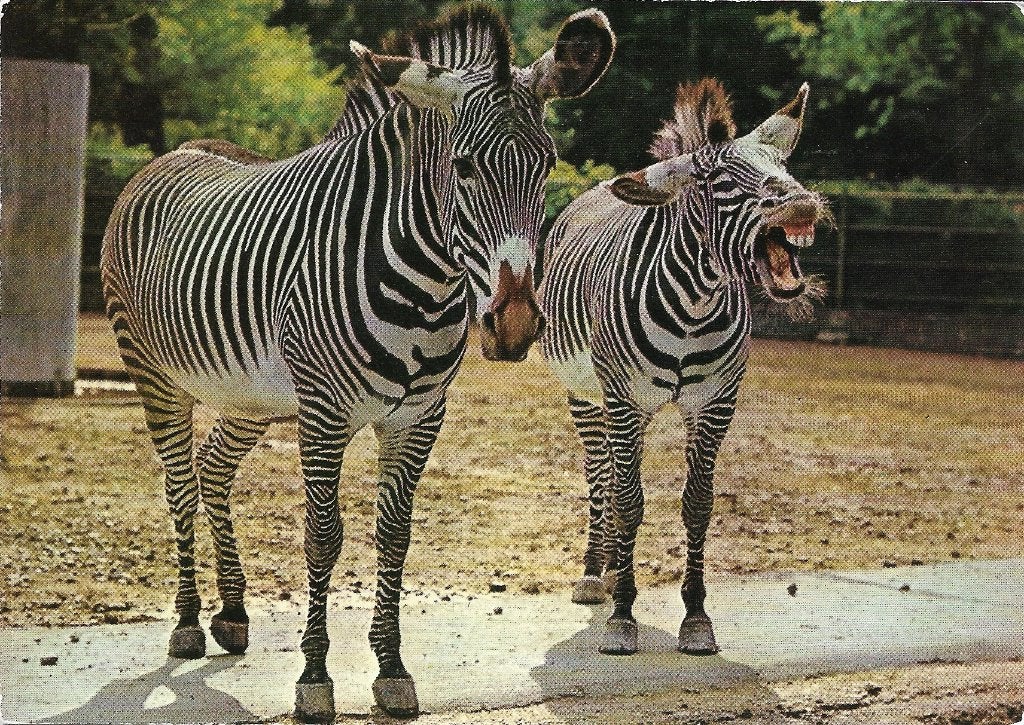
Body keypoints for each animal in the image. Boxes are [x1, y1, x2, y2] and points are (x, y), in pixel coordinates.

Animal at [100, 5, 614, 720]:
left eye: (547, 165)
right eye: (463, 167)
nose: (514, 327)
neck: (427, 285)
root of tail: (173, 154)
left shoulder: (420, 417)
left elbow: (393, 536)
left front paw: (393, 670)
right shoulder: (323, 412)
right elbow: (323, 536)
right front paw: (315, 679)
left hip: (250, 395)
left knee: (212, 471)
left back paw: (231, 614)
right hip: (155, 375)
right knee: (178, 483)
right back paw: (187, 622)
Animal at [539, 79, 827, 657]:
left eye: (784, 166)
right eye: (719, 179)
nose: (802, 201)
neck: (695, 305)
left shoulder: (714, 404)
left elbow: (697, 503)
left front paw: (695, 618)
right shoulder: (623, 398)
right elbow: (629, 501)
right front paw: (621, 617)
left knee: (611, 474)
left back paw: (610, 567)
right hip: (588, 395)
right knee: (600, 476)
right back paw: (595, 573)